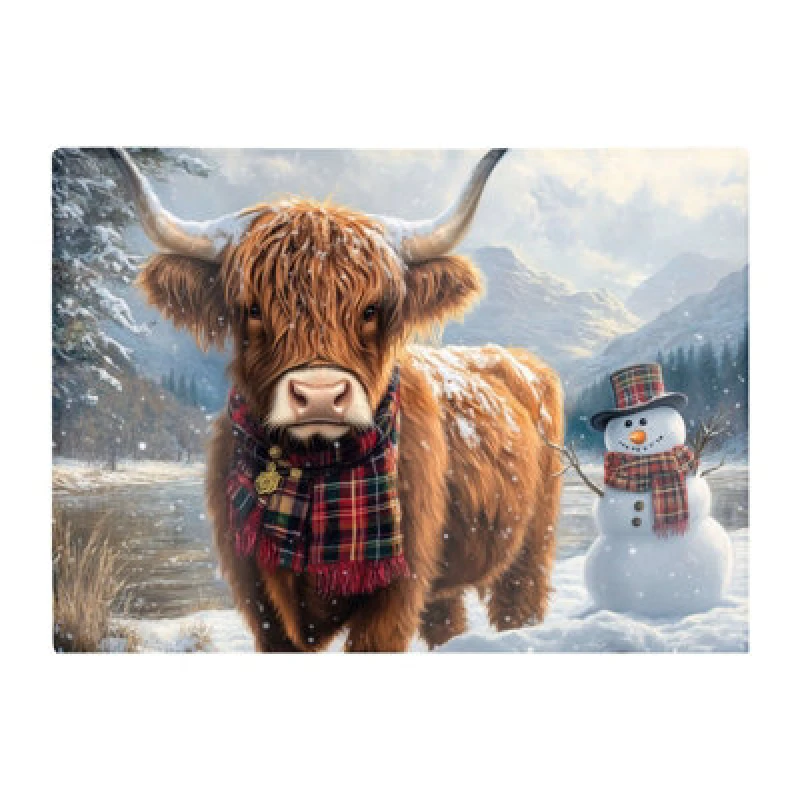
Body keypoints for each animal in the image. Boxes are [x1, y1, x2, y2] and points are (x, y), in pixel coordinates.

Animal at [111, 148, 564, 652]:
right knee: (447, 618)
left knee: (519, 602)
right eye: (252, 309)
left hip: (532, 545)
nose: (320, 396)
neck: (315, 476)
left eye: (370, 310)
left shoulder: (396, 589)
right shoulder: (258, 595)